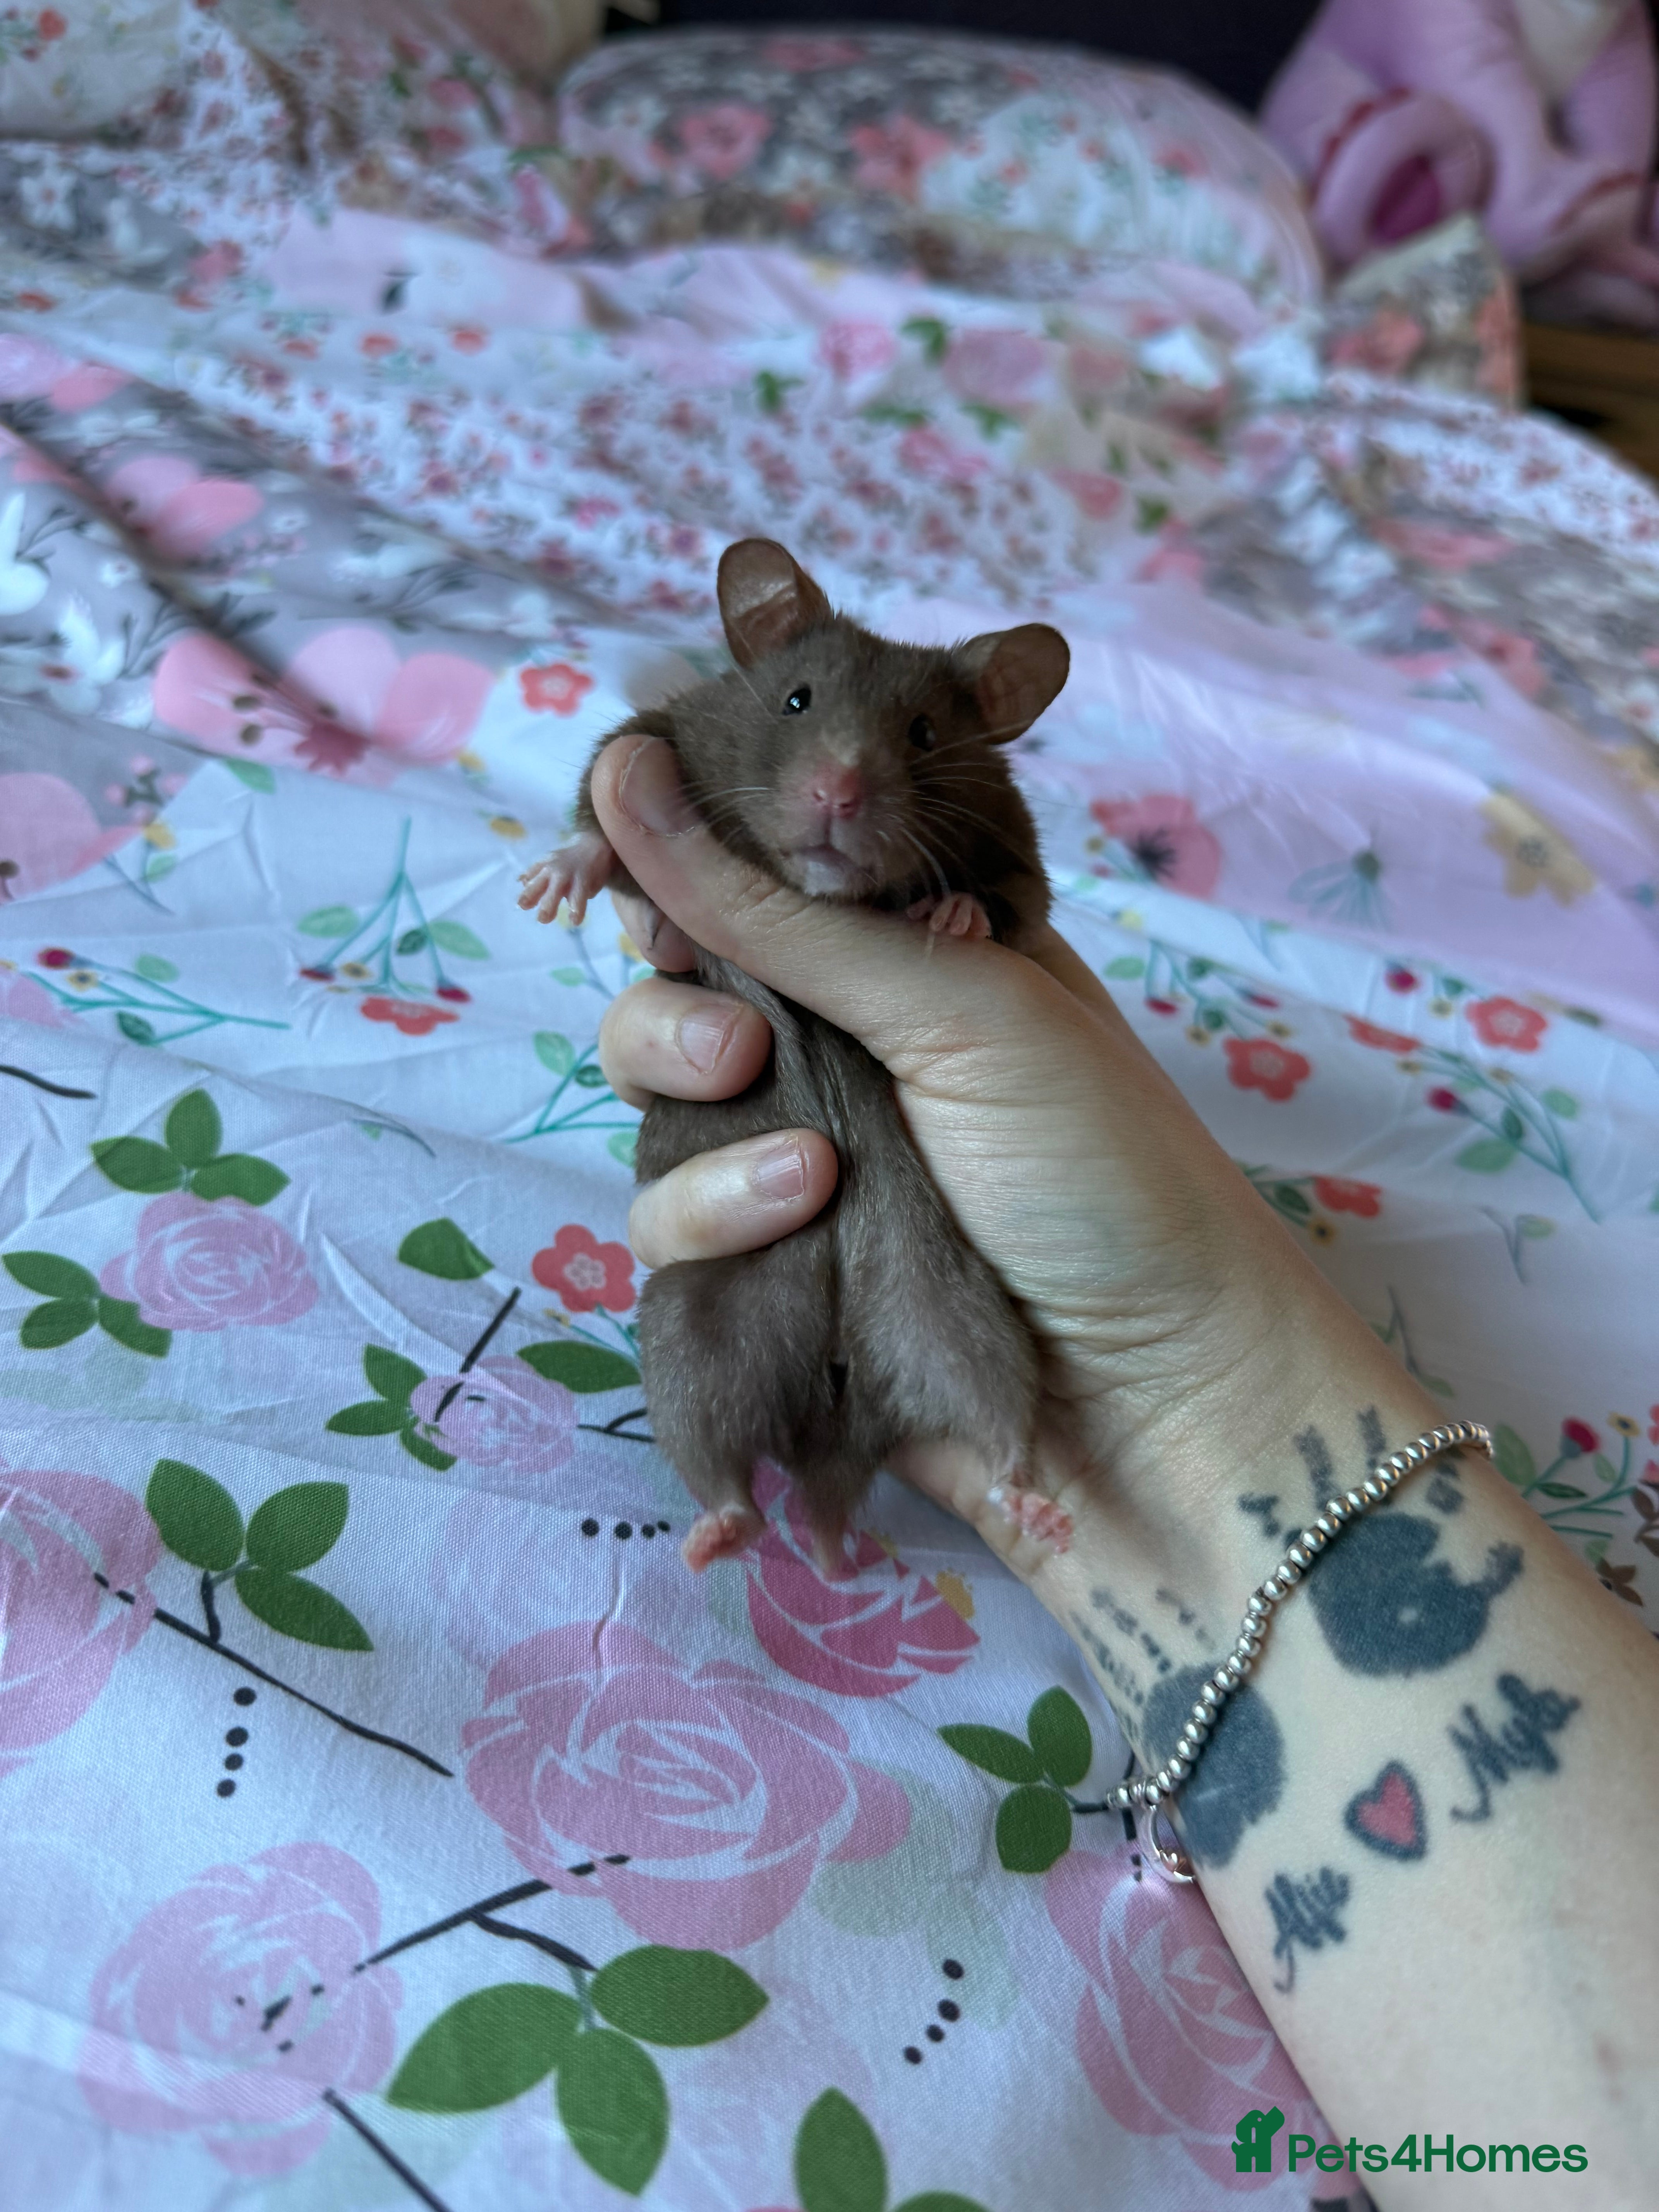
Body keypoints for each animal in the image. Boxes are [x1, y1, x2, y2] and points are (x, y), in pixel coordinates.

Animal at [519, 538, 1069, 1571]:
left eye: (925, 733)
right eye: (797, 701)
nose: (837, 795)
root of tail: (837, 1421)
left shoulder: (1012, 839)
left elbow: (1016, 899)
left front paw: (956, 914)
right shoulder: (663, 733)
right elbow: (603, 801)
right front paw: (559, 880)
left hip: (956, 1321)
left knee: (995, 1414)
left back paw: (1027, 1503)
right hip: (696, 1328)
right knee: (713, 1436)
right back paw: (731, 1533)